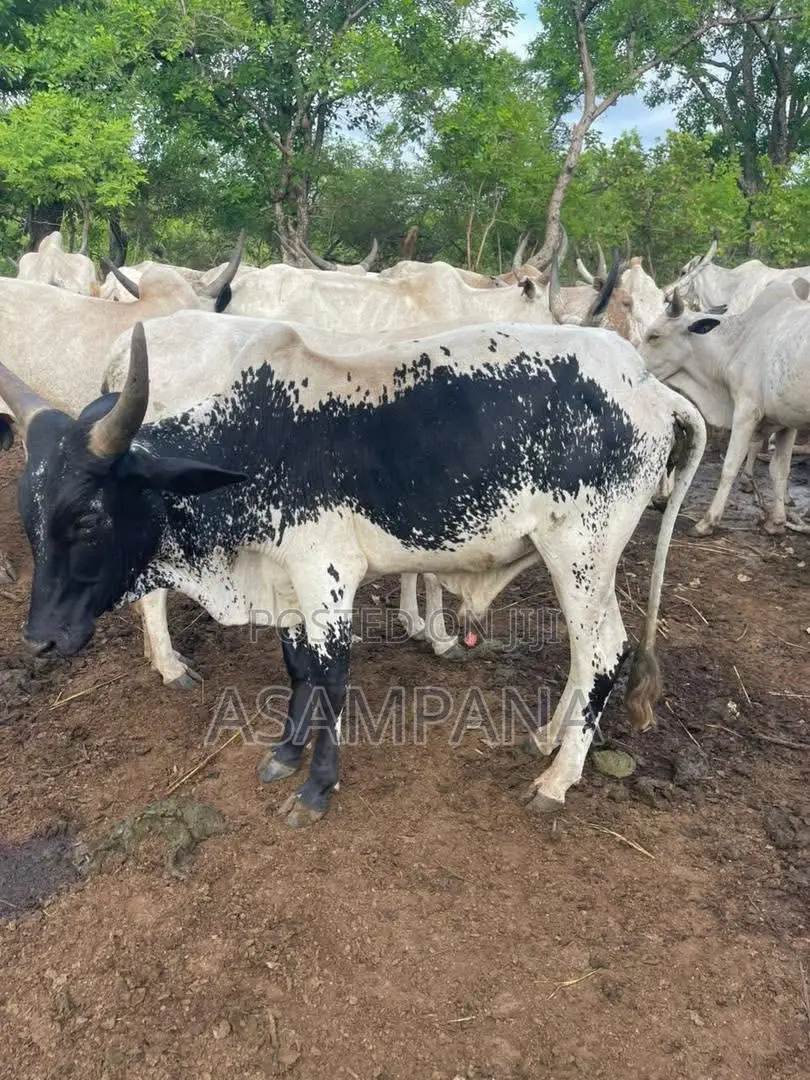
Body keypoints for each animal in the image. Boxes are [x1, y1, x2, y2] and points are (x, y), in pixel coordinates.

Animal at [0, 315, 705, 825]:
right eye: (29, 517)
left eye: (88, 519)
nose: (41, 640)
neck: (256, 444)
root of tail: (651, 387)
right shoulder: (287, 579)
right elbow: (297, 668)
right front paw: (285, 755)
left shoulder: (327, 574)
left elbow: (332, 677)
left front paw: (316, 787)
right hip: (584, 565)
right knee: (596, 655)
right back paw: (549, 738)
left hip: (581, 555)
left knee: (602, 651)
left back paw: (557, 778)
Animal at [639, 278, 810, 535]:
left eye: (654, 335)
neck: (741, 341)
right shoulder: (786, 423)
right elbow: (780, 471)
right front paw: (777, 521)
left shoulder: (746, 412)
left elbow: (729, 467)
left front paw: (707, 521)